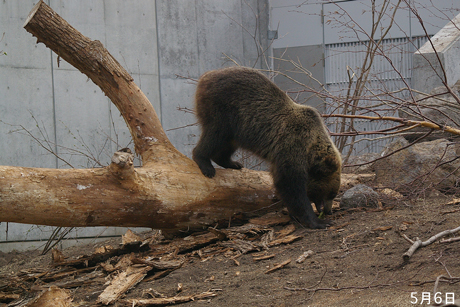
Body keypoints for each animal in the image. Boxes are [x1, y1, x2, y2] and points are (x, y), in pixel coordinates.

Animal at [191, 66, 342, 229]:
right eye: (332, 193)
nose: (329, 211)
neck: (310, 149)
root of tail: (206, 75)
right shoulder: (292, 146)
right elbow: (289, 183)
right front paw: (317, 221)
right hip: (224, 110)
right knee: (215, 134)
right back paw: (205, 164)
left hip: (237, 127)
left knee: (227, 143)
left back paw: (233, 163)